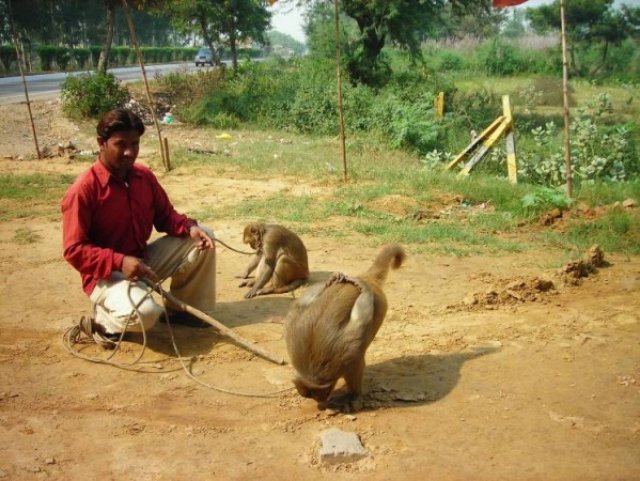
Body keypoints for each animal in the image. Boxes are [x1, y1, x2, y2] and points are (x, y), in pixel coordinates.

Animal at [284, 244, 404, 408]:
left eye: (319, 394)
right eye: (311, 396)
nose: (320, 401)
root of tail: (367, 278)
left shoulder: (347, 354)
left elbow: (360, 324)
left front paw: (354, 396)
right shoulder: (292, 332)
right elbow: (298, 307)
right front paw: (330, 281)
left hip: (380, 305)